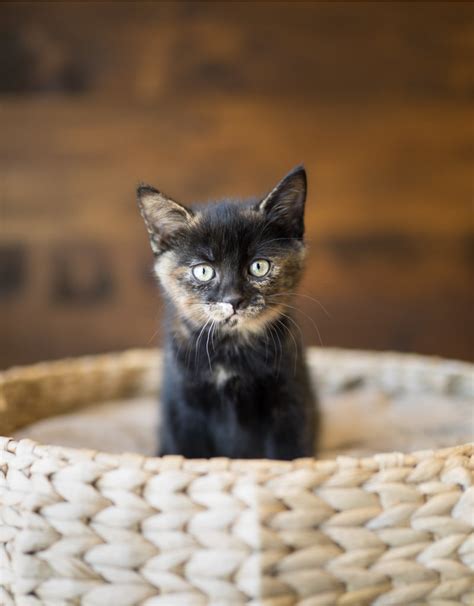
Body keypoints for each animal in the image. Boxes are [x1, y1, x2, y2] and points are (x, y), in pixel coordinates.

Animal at [139, 166, 320, 460]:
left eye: (259, 266)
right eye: (203, 271)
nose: (234, 300)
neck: (231, 349)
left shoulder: (290, 402)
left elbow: (288, 453)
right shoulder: (182, 407)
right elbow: (189, 451)